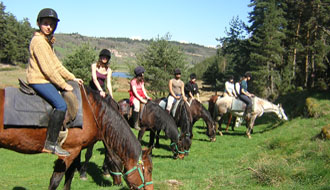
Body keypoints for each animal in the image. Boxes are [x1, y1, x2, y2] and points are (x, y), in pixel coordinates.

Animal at [0, 86, 154, 190]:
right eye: (149, 170)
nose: (118, 182)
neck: (94, 113)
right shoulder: (69, 152)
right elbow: (55, 181)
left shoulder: (76, 150)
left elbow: (69, 178)